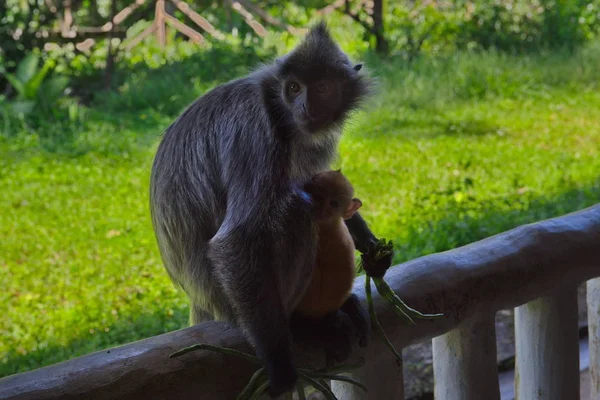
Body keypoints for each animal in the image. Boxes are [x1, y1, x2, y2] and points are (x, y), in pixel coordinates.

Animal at [150, 22, 394, 396]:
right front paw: (281, 367)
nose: (305, 106)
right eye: (293, 88)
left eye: (322, 88)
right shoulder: (254, 131)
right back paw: (307, 324)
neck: (282, 114)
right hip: (227, 299)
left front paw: (373, 251)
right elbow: (236, 239)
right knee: (293, 211)